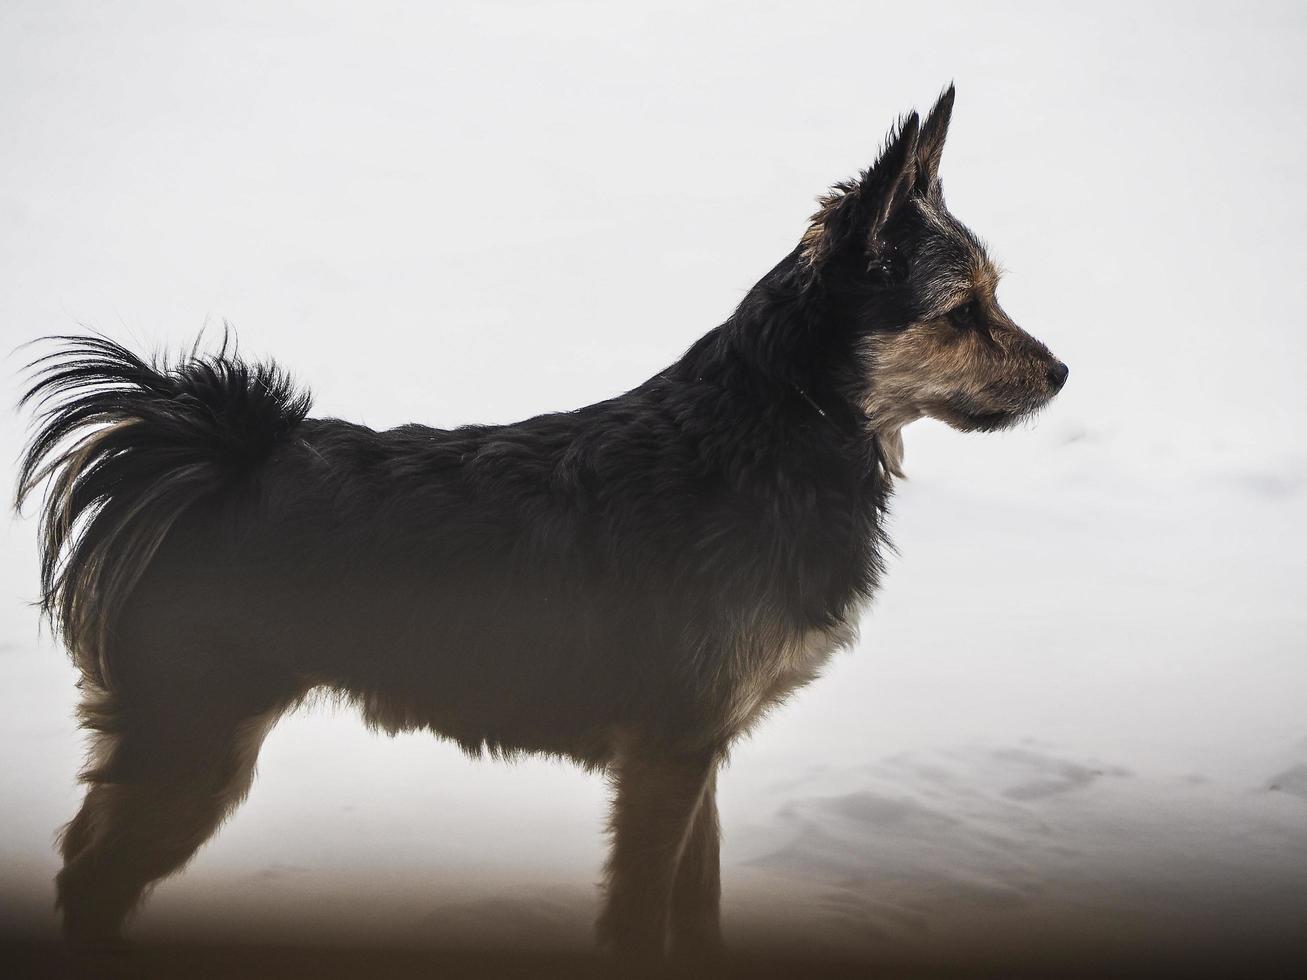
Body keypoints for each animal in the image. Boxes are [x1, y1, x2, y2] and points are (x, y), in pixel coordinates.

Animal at [17, 90, 1061, 966]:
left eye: (992, 298)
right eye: (962, 313)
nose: (1061, 374)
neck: (777, 430)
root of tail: (208, 458)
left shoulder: (697, 755)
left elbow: (699, 908)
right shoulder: (667, 754)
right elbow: (639, 916)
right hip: (193, 743)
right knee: (89, 880)